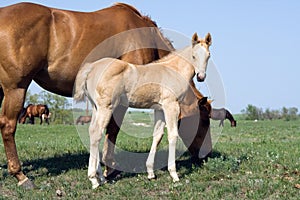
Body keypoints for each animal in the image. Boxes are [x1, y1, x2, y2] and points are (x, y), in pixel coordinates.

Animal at [74, 32, 212, 189]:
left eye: (208, 55)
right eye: (194, 56)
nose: (201, 77)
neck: (173, 71)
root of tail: (91, 68)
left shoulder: (159, 109)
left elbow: (158, 135)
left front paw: (151, 172)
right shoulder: (171, 105)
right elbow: (173, 135)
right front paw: (174, 174)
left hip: (96, 107)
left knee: (92, 131)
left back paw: (100, 177)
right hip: (106, 107)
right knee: (97, 133)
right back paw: (94, 179)